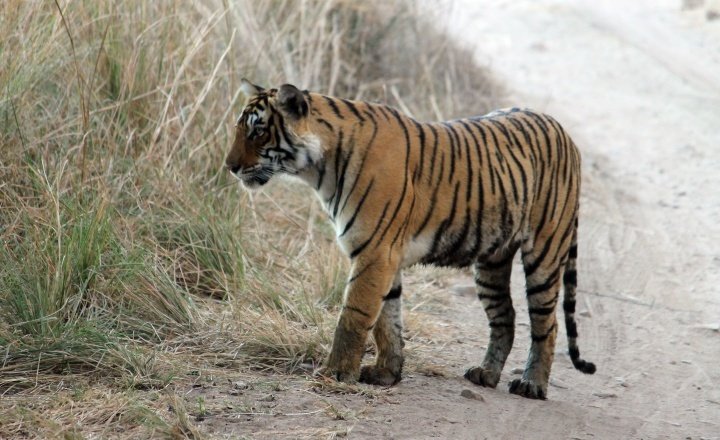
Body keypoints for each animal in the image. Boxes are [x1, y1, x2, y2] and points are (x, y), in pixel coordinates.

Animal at [225, 78, 596, 398]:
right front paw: (386, 373)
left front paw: (335, 373)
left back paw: (532, 384)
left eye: (258, 131)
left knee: (547, 324)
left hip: (545, 253)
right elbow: (386, 321)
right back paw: (486, 375)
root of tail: (564, 131)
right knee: (505, 316)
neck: (320, 169)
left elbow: (354, 316)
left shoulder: (375, 253)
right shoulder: (384, 255)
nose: (229, 166)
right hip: (492, 262)